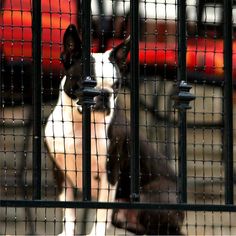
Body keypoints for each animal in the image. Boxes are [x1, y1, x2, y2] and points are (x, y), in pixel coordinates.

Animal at [44, 24, 184, 235]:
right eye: (87, 83)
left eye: (116, 86)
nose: (104, 94)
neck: (80, 124)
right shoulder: (61, 171)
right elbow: (68, 208)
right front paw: (67, 232)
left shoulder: (109, 172)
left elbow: (102, 211)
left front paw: (96, 233)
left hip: (150, 197)